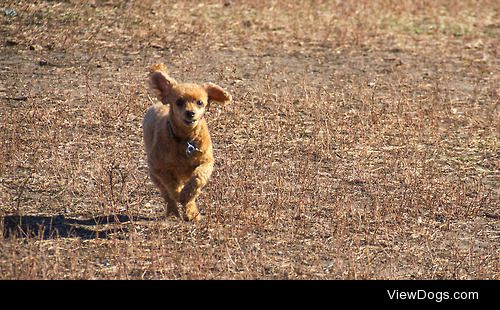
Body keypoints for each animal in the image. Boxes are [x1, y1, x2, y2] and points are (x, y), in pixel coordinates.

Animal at [144, 63, 231, 222]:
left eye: (200, 102)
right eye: (179, 102)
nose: (190, 113)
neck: (186, 139)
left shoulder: (206, 161)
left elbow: (197, 178)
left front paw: (186, 196)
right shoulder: (160, 168)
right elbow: (171, 185)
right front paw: (179, 194)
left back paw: (192, 213)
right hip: (154, 174)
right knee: (167, 195)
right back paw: (173, 212)